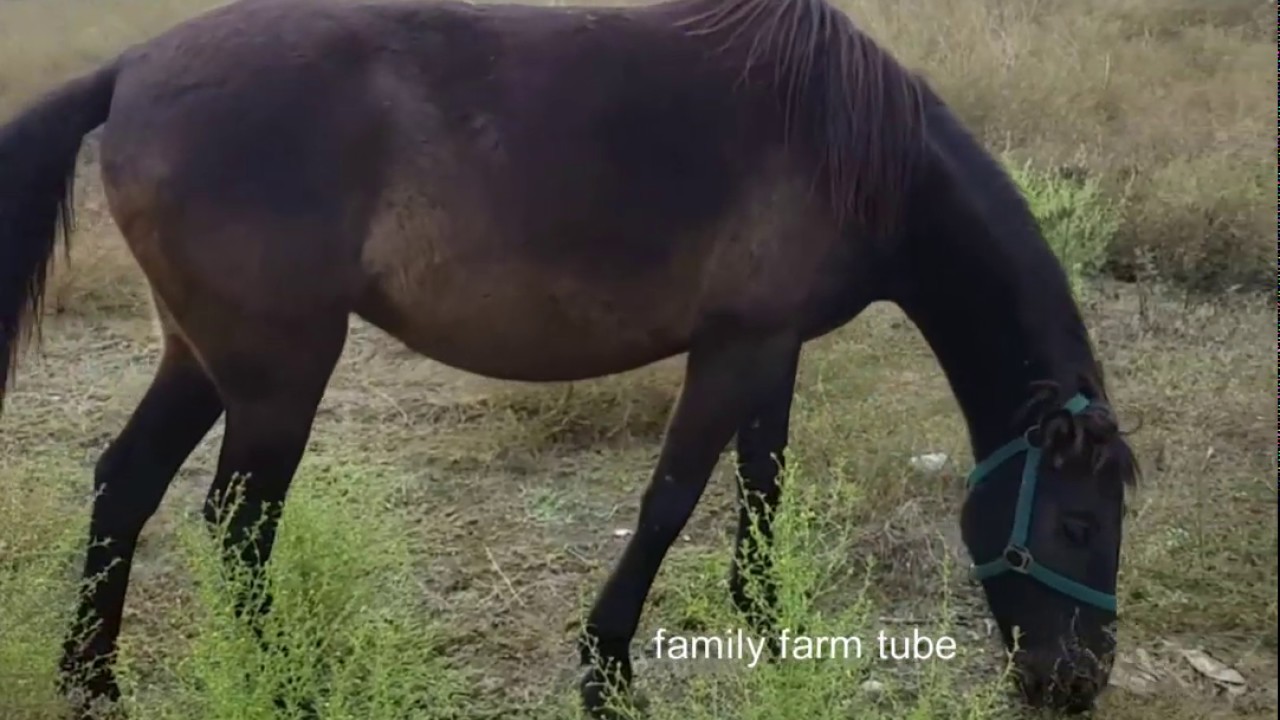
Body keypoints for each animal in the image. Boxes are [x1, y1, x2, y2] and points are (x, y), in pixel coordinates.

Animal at [0, 0, 1141, 712]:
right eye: (1079, 525)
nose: (1074, 685)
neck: (856, 145)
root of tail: (132, 70)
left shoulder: (773, 347)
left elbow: (761, 489)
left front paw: (773, 630)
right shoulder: (733, 348)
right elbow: (672, 500)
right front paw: (607, 667)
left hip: (202, 354)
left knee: (126, 483)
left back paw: (93, 680)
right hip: (281, 374)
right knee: (236, 530)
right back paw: (285, 687)